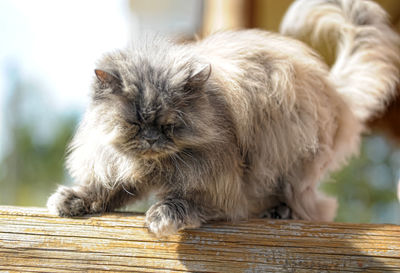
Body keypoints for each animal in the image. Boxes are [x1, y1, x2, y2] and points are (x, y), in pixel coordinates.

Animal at [47, 0, 400, 236]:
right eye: (135, 123)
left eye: (169, 125)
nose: (150, 138)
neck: (157, 167)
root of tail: (336, 94)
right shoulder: (119, 169)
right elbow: (104, 189)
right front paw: (71, 199)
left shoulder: (221, 187)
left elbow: (188, 202)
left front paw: (162, 216)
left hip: (290, 159)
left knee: (316, 207)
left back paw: (280, 213)